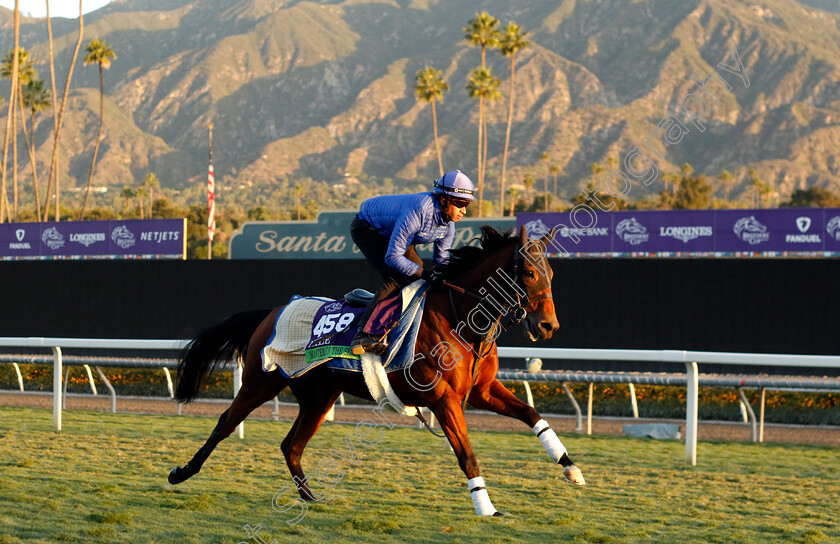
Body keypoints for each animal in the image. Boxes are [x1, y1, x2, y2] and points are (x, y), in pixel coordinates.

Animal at [167, 226, 580, 520]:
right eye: (530, 272)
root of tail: (271, 311)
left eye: (552, 272)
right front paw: (486, 507)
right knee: (225, 423)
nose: (549, 326)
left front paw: (570, 468)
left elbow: (533, 415)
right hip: (261, 381)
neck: (460, 320)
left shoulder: (482, 390)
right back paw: (182, 472)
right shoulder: (443, 398)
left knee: (291, 445)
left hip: (319, 398)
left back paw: (308, 496)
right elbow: (467, 455)